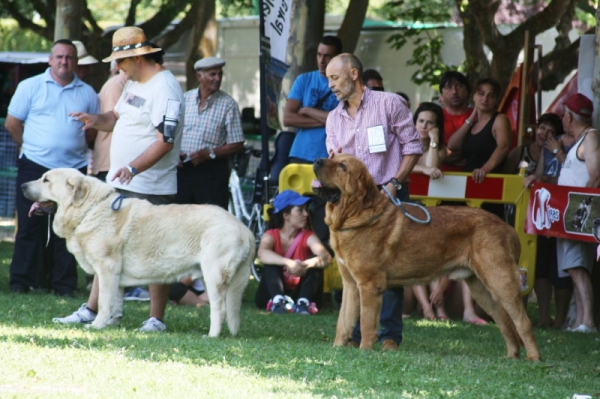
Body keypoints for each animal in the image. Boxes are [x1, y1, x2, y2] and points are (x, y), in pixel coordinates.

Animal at [21, 169, 253, 338]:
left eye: (46, 180)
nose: (22, 185)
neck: (90, 209)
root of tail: (245, 229)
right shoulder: (115, 277)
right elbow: (115, 303)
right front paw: (111, 324)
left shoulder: (107, 269)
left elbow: (104, 302)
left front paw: (96, 325)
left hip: (213, 276)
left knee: (219, 309)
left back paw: (211, 336)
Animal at [312, 155, 540, 360]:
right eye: (333, 156)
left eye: (342, 166)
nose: (317, 161)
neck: (354, 215)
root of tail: (507, 227)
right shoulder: (351, 285)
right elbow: (344, 322)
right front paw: (338, 349)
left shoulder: (369, 285)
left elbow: (367, 322)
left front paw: (365, 352)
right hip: (482, 289)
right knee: (505, 322)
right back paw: (511, 356)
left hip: (501, 281)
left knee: (523, 322)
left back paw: (533, 359)